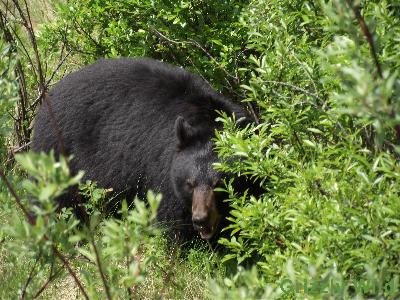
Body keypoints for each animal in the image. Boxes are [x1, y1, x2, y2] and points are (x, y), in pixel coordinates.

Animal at [32, 58, 250, 241]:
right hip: (59, 153)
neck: (206, 118)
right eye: (190, 183)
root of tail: (46, 99)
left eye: (219, 184)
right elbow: (171, 219)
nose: (200, 219)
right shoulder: (161, 167)